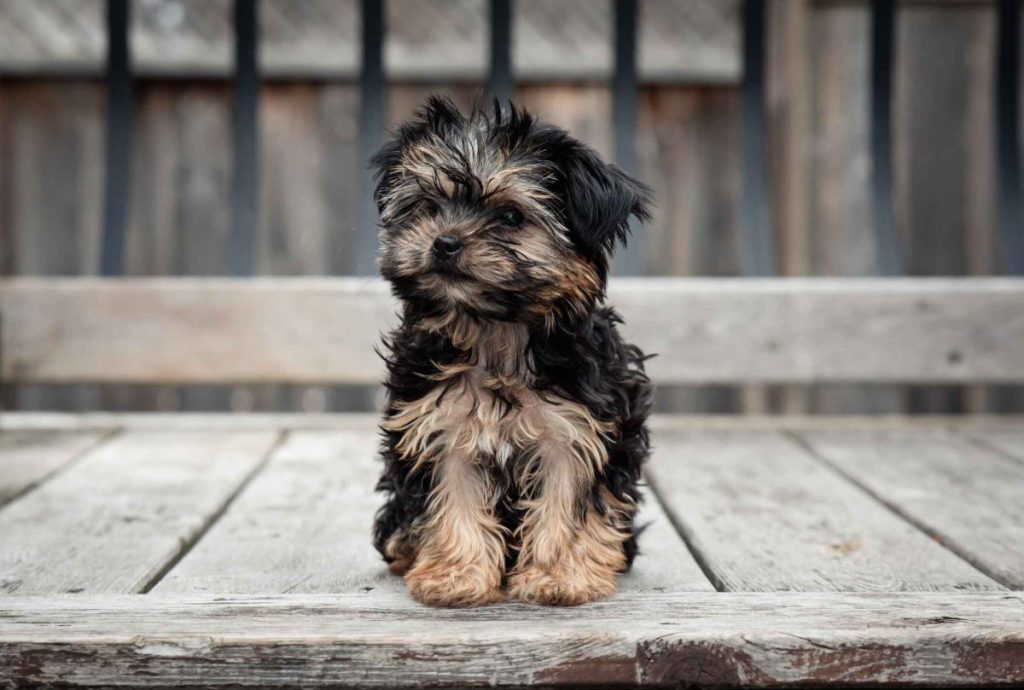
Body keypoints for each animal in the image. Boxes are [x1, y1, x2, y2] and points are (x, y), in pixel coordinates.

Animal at [372, 95, 651, 601]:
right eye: (429, 206)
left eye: (510, 217)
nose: (444, 242)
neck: (494, 332)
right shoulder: (441, 427)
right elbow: (454, 497)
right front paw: (455, 575)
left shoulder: (577, 431)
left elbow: (567, 500)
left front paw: (557, 575)